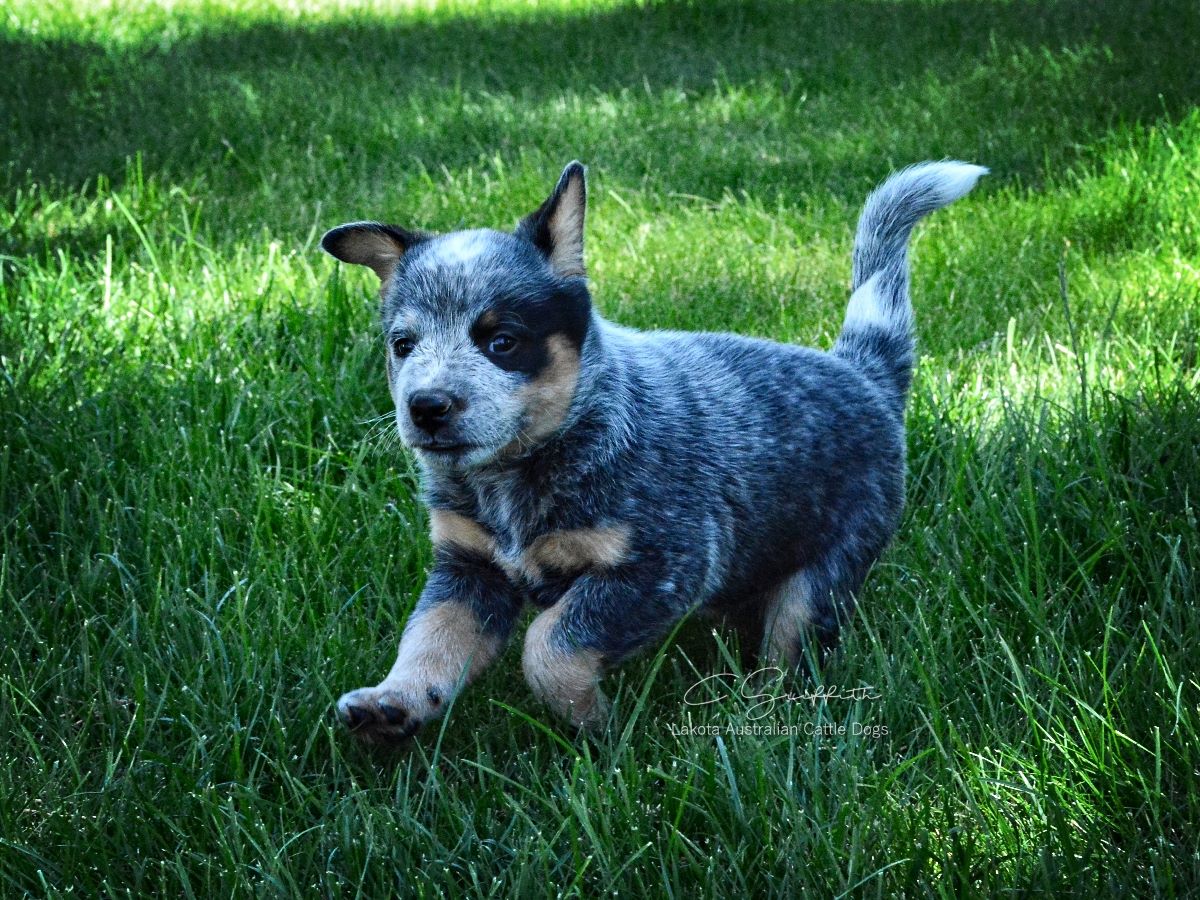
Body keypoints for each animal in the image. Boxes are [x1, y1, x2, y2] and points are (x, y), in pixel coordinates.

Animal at [319, 158, 984, 744]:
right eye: (402, 344)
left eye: (502, 340)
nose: (426, 405)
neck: (521, 471)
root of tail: (861, 371)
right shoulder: (466, 567)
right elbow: (429, 640)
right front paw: (394, 701)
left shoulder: (664, 564)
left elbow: (549, 647)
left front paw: (592, 723)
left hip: (828, 567)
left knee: (790, 647)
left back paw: (761, 717)